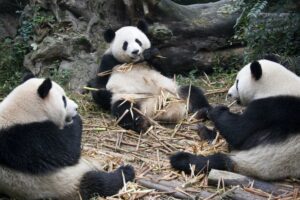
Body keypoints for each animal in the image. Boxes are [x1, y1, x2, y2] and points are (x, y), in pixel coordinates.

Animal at [0, 77, 135, 199]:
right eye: (63, 99)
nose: (76, 107)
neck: (20, 111)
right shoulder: (25, 139)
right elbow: (66, 151)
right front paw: (76, 120)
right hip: (69, 183)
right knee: (97, 183)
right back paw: (126, 171)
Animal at [170, 60, 300, 180]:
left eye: (237, 82)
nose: (229, 94)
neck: (279, 85)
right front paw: (208, 111)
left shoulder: (271, 107)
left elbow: (237, 132)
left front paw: (218, 110)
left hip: (259, 158)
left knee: (216, 161)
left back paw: (181, 158)